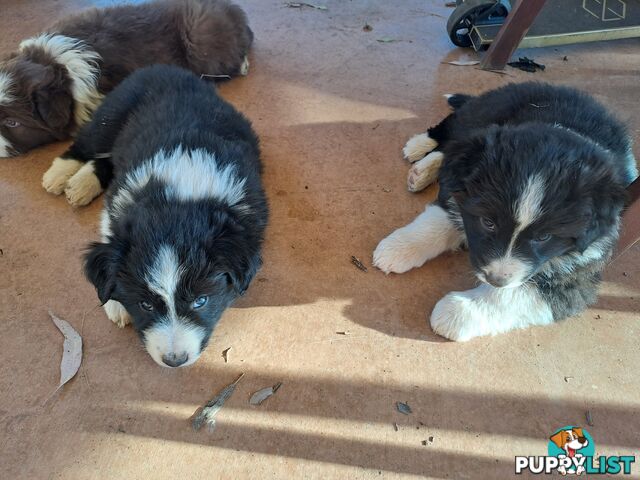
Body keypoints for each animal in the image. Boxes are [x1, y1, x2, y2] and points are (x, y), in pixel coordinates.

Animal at [76, 65, 266, 368]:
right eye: (145, 304)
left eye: (200, 301)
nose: (174, 360)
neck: (178, 198)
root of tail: (165, 67)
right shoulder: (119, 202)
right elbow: (108, 231)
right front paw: (115, 304)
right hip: (110, 116)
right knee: (86, 143)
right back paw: (63, 177)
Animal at [372, 83, 636, 344]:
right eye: (488, 222)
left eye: (544, 237)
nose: (495, 280)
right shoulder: (460, 193)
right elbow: (437, 220)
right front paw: (398, 248)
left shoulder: (581, 275)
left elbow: (516, 295)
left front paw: (457, 312)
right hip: (482, 112)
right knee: (452, 132)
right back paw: (419, 148)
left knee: (454, 149)